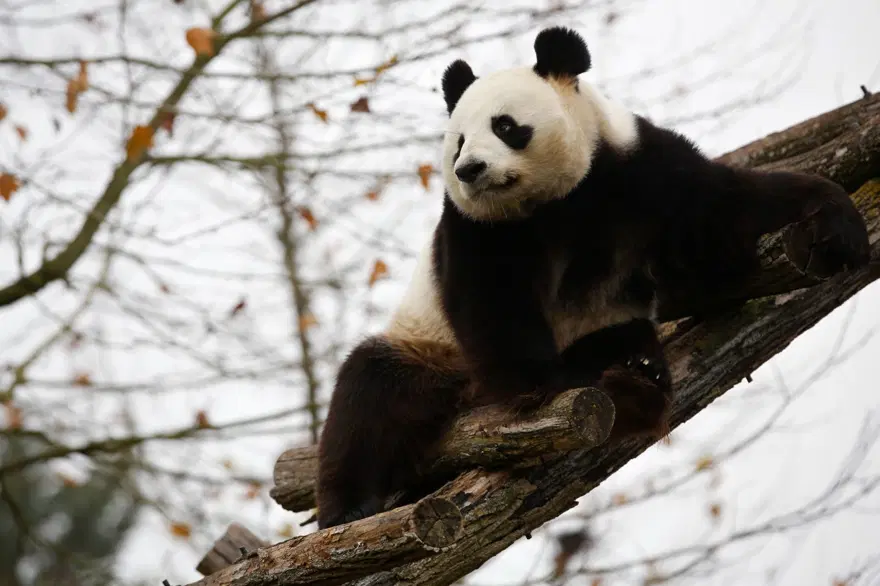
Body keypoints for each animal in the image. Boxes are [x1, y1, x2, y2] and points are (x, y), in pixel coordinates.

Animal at [315, 26, 870, 530]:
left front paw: (836, 223)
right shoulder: (480, 230)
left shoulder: (641, 170)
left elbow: (725, 215)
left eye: (505, 126)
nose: (470, 169)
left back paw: (632, 366)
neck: (562, 199)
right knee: (371, 394)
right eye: (457, 143)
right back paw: (350, 507)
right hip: (434, 351)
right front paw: (548, 381)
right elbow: (493, 303)